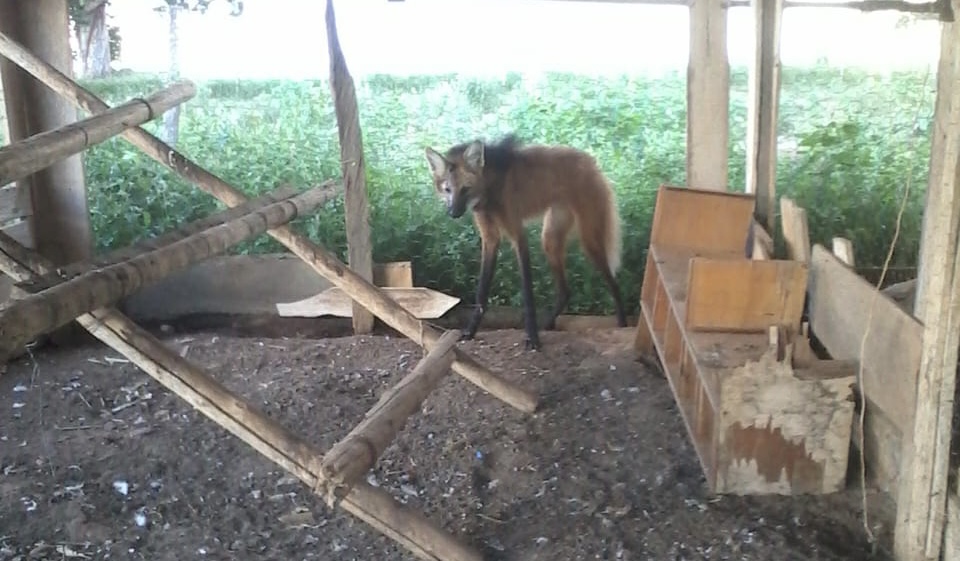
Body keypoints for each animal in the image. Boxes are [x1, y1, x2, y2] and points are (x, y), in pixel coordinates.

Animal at [424, 134, 628, 350]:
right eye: (447, 189)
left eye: (465, 189)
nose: (453, 213)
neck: (491, 189)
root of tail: (591, 161)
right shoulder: (490, 238)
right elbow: (482, 291)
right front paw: (470, 331)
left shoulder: (518, 234)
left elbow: (527, 293)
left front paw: (532, 338)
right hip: (550, 239)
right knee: (565, 291)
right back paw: (548, 325)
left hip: (589, 239)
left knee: (614, 283)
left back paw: (623, 324)